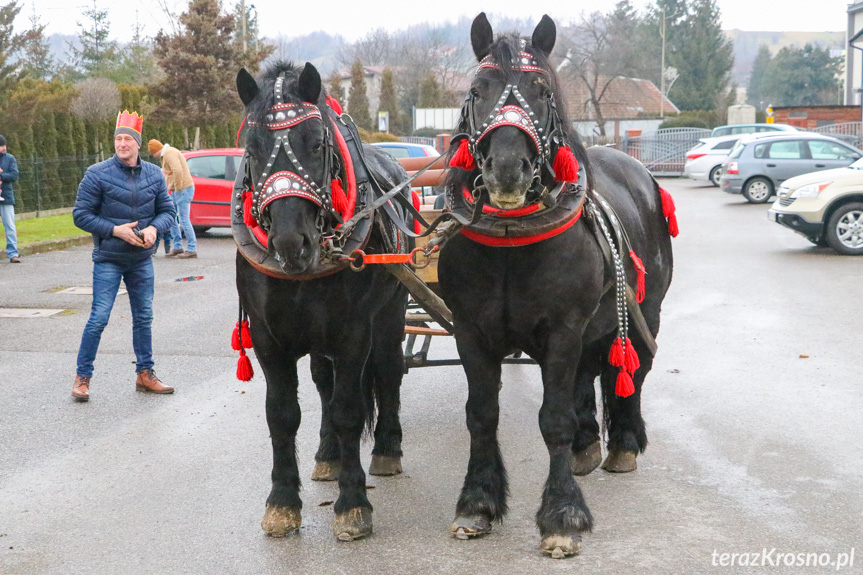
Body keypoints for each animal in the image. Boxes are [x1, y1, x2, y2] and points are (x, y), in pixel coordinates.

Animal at [235, 60, 414, 544]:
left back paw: (387, 448)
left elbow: (350, 409)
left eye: (316, 143)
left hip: (390, 314)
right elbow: (282, 414)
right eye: (251, 149)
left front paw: (353, 505)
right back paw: (328, 454)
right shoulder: (268, 338)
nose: (289, 242)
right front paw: (281, 502)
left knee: (388, 371)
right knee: (322, 381)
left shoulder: (354, 333)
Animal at [438, 14, 676, 560]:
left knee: (634, 369)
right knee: (588, 372)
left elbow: (554, 419)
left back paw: (623, 444)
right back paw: (588, 446)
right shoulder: (470, 331)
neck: (510, 239)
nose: (507, 168)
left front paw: (562, 515)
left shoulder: (564, 329)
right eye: (477, 90)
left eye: (542, 91)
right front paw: (477, 502)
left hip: (647, 311)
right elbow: (481, 414)